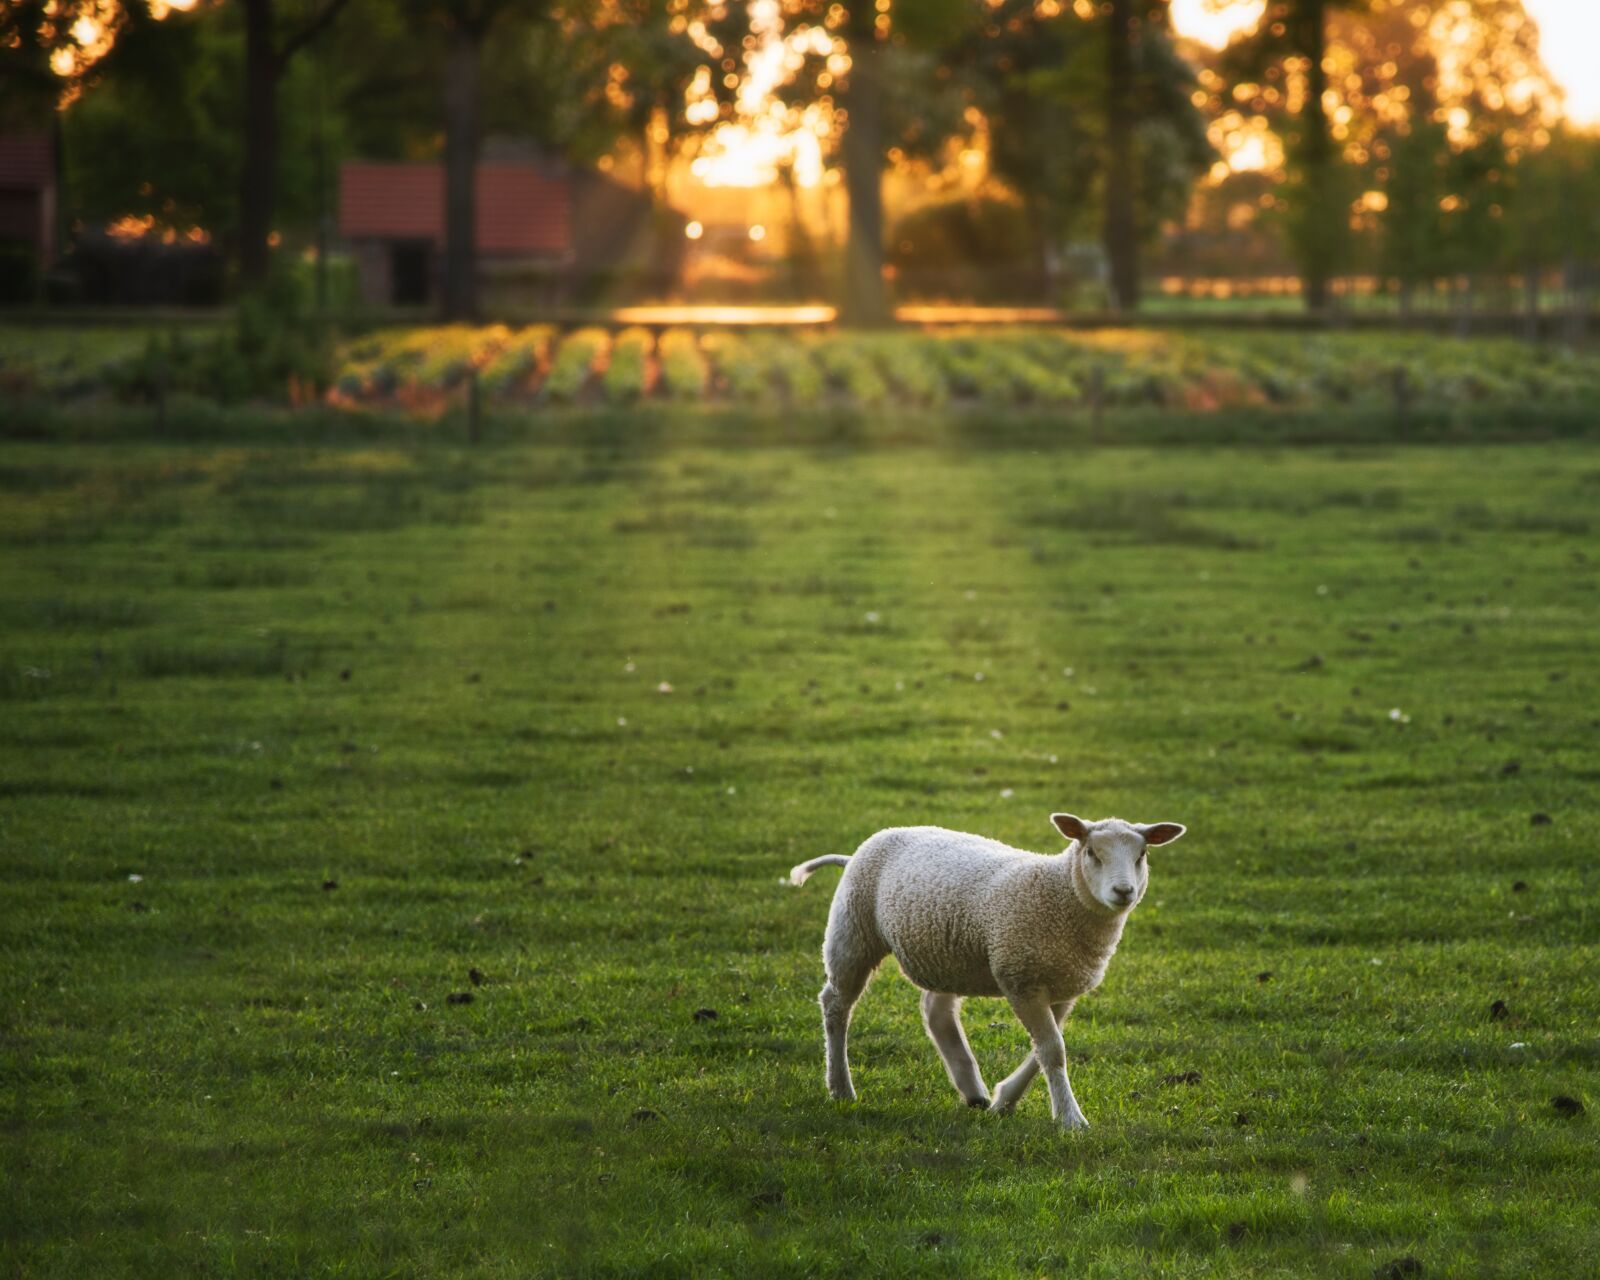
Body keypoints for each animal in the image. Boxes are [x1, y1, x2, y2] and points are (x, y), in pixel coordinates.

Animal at [788, 812, 1186, 1130]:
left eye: (1142, 855)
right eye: (1091, 853)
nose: (1124, 891)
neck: (1059, 893)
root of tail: (861, 849)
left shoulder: (1061, 986)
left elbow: (1045, 1049)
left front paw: (1004, 1100)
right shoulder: (1020, 977)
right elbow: (1052, 1051)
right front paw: (1070, 1118)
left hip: (946, 955)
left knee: (936, 1012)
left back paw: (973, 1091)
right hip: (853, 931)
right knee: (836, 1005)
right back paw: (841, 1088)